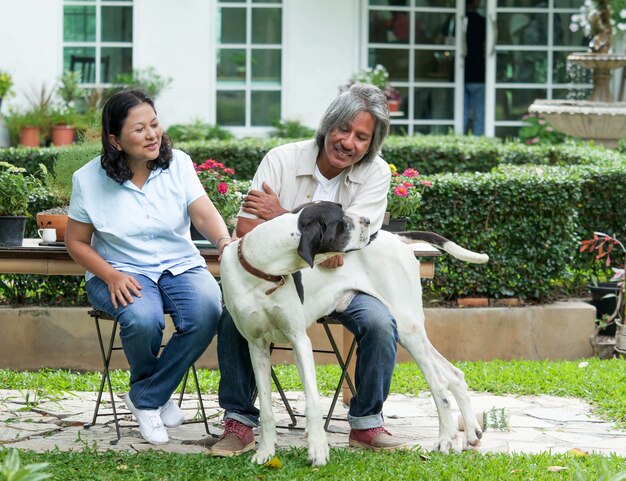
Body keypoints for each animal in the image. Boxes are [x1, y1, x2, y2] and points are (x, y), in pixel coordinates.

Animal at [219, 202, 488, 464]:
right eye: (341, 220)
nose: (367, 221)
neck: (261, 270)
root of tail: (393, 236)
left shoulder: (299, 340)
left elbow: (312, 403)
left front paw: (318, 450)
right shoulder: (256, 346)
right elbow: (265, 408)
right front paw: (265, 451)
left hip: (407, 326)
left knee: (439, 384)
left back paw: (445, 441)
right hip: (411, 331)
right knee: (453, 375)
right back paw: (469, 434)